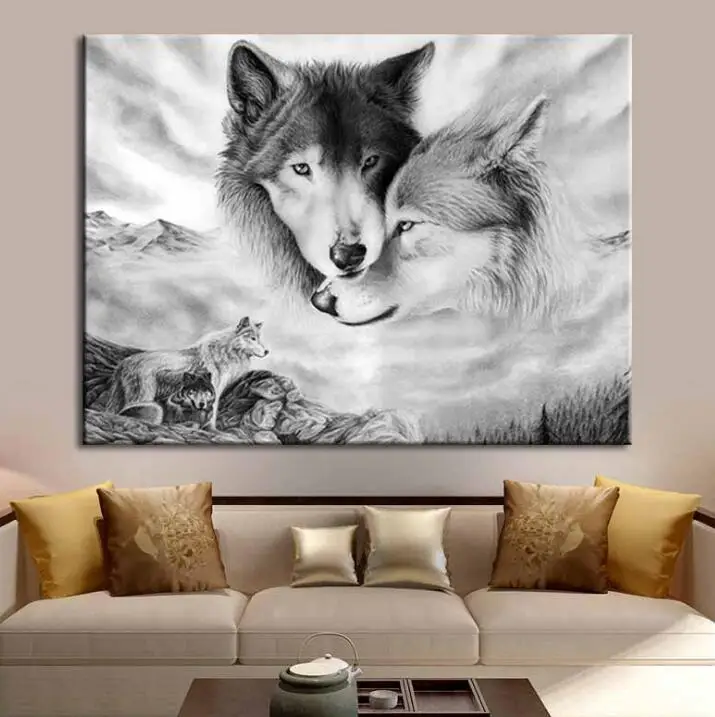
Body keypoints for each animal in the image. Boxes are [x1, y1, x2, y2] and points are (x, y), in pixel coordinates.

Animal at [106, 316, 269, 429]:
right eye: (253, 338)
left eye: (259, 339)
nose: (267, 351)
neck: (226, 351)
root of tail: (123, 363)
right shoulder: (214, 389)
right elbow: (212, 414)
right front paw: (211, 430)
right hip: (144, 396)